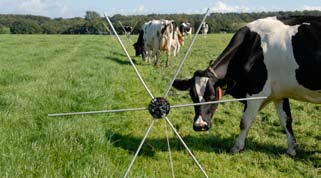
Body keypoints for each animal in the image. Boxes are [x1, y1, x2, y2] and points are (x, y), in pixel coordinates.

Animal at [172, 16, 320, 156]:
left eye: (212, 96)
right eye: (192, 96)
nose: (199, 125)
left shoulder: (256, 92)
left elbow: (245, 122)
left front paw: (237, 147)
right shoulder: (279, 93)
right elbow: (286, 120)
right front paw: (291, 149)